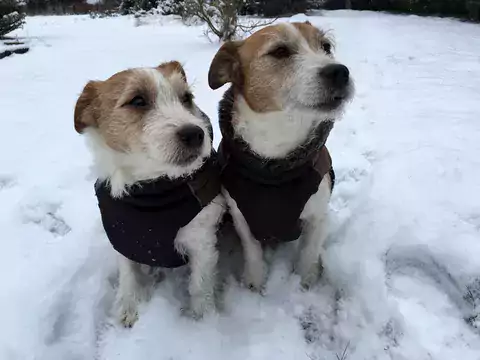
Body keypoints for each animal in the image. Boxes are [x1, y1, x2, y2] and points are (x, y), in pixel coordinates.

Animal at [74, 61, 226, 326]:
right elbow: (128, 276)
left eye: (186, 98)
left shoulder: (201, 242)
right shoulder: (123, 238)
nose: (195, 134)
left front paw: (202, 321)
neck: (151, 191)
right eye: (137, 101)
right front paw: (128, 307)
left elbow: (200, 286)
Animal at [208, 21, 354, 290]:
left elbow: (309, 252)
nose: (340, 72)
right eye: (280, 51)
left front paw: (306, 281)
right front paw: (254, 281)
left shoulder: (318, 217)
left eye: (326, 47)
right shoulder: (242, 218)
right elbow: (252, 251)